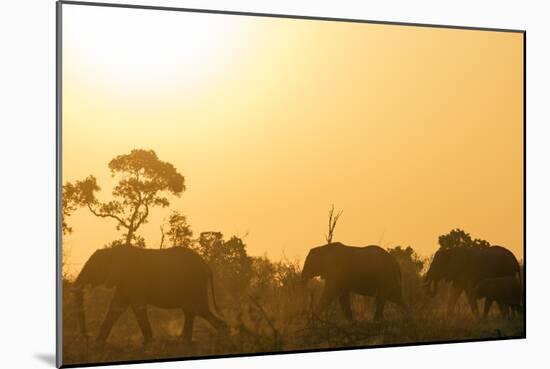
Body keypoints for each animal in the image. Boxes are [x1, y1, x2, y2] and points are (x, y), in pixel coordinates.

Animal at [74, 244, 229, 344]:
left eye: (93, 268)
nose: (87, 336)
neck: (113, 252)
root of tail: (207, 266)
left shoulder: (134, 279)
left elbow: (137, 307)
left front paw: (148, 343)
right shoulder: (124, 282)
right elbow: (116, 307)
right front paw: (98, 343)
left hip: (195, 284)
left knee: (199, 309)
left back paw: (222, 336)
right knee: (190, 310)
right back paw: (185, 341)